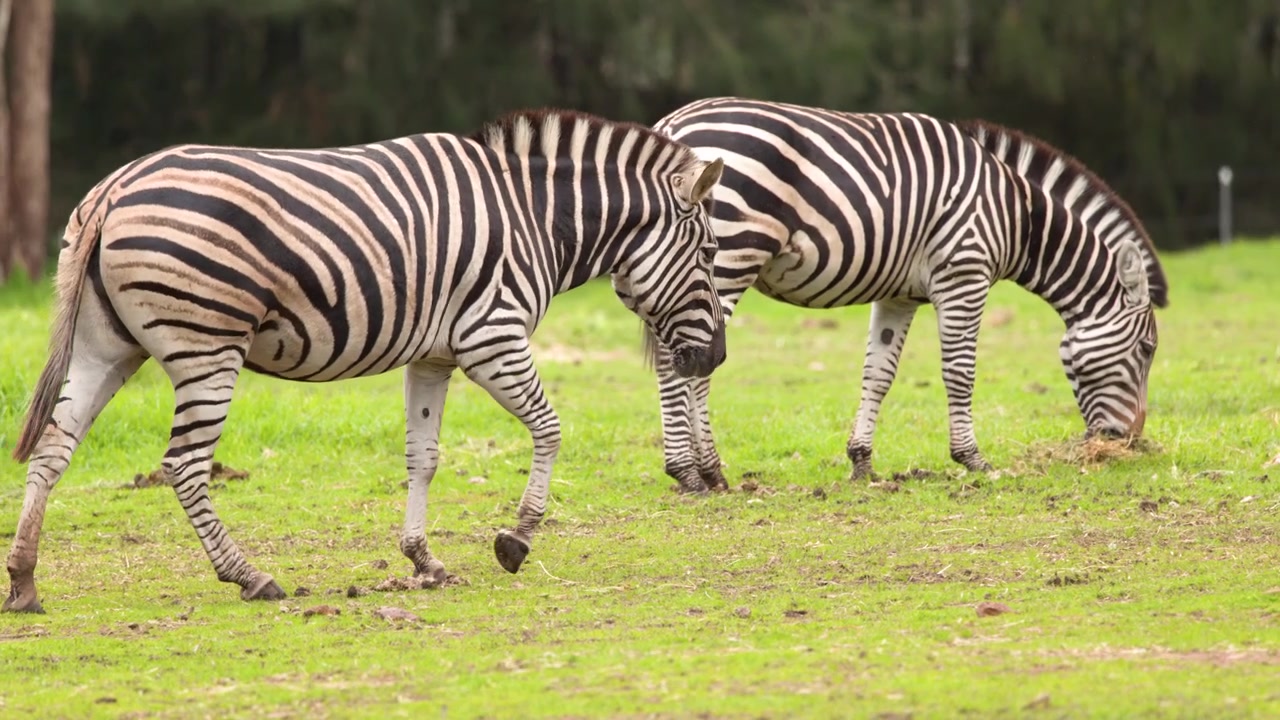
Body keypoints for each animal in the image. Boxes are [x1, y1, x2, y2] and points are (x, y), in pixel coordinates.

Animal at [3, 109, 727, 613]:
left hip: (106, 345)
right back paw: (250, 577)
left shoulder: (434, 356)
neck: (535, 219)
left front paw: (424, 561)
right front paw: (516, 539)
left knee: (53, 448)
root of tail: (114, 188)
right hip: (207, 344)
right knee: (182, 463)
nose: (716, 357)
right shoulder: (491, 336)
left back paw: (25, 580)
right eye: (710, 254)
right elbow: (550, 429)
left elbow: (423, 456)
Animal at [644, 97, 1166, 492]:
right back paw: (696, 471)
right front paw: (973, 459)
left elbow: (878, 374)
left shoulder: (899, 295)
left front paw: (861, 463)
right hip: (728, 256)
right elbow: (960, 373)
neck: (1018, 218)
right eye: (1146, 349)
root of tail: (672, 123)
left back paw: (702, 471)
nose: (1129, 440)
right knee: (681, 363)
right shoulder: (964, 275)